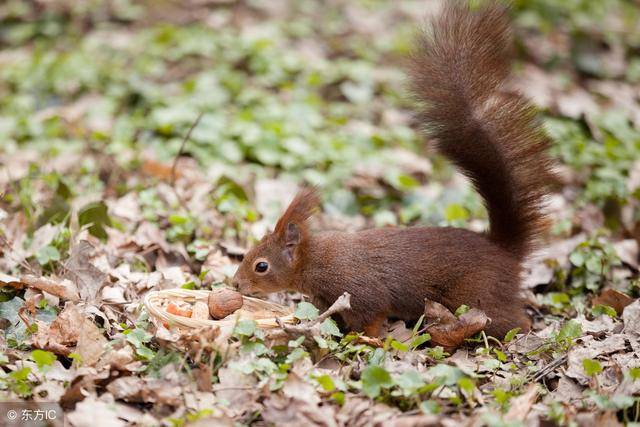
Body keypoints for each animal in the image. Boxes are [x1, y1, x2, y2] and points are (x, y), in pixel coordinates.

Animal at [230, 1, 556, 340]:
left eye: (262, 266)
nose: (235, 284)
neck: (313, 261)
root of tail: (504, 252)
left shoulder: (360, 290)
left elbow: (372, 316)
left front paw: (365, 338)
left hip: (476, 296)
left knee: (513, 321)